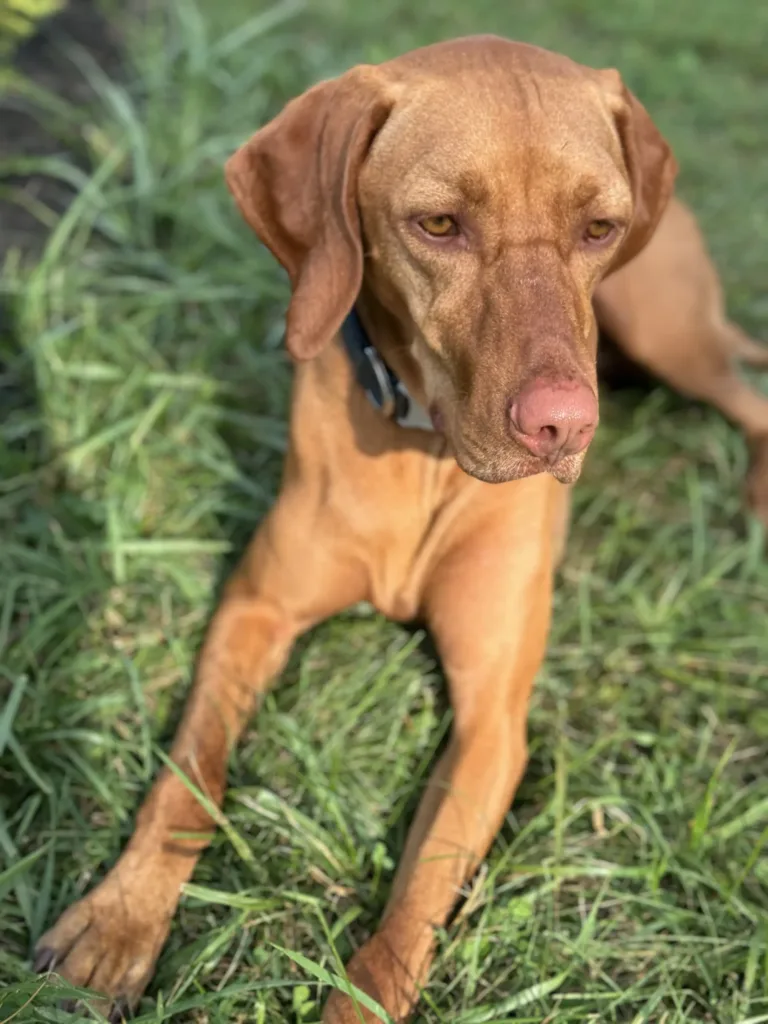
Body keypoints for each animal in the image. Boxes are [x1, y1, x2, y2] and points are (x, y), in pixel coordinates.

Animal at [34, 34, 768, 1024]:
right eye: (439, 225)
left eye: (598, 230)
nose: (565, 426)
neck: (425, 451)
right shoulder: (254, 612)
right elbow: (189, 776)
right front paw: (118, 920)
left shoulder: (493, 722)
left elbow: (411, 910)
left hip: (665, 328)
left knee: (747, 395)